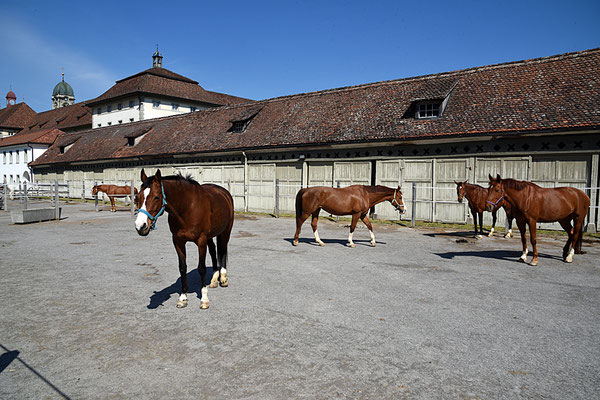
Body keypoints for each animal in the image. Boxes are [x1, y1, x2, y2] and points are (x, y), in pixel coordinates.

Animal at [134, 169, 234, 310]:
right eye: (137, 197)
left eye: (156, 197)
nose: (140, 226)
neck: (187, 207)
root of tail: (224, 192)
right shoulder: (178, 241)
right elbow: (182, 268)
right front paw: (183, 298)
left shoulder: (201, 241)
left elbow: (201, 268)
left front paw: (204, 299)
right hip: (210, 236)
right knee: (213, 251)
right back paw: (214, 279)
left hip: (226, 231)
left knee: (223, 250)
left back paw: (223, 278)